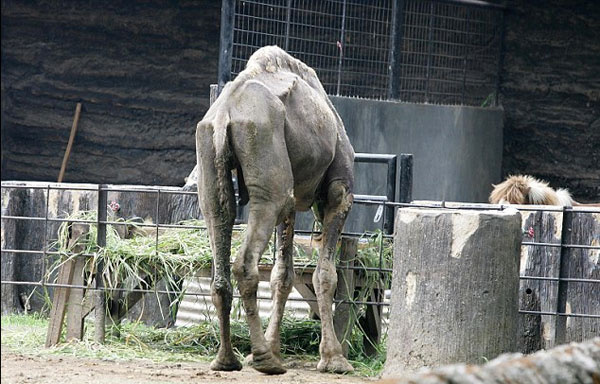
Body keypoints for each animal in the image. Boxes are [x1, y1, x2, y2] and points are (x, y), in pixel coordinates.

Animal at [197, 45, 354, 376]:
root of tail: (224, 115)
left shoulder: (291, 204)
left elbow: (282, 275)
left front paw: (276, 347)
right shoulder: (339, 192)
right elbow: (325, 274)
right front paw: (334, 360)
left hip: (211, 162)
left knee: (219, 229)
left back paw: (227, 359)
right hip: (266, 164)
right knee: (244, 263)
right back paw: (263, 360)